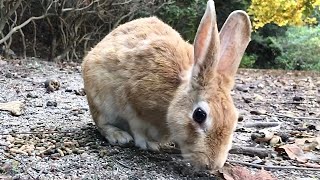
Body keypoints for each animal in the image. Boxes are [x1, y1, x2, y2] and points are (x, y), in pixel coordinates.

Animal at [81, 0, 251, 171]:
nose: (213, 165)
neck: (173, 96)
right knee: (102, 123)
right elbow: (137, 127)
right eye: (199, 115)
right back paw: (118, 135)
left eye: (235, 118)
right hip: (100, 100)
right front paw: (148, 143)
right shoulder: (132, 103)